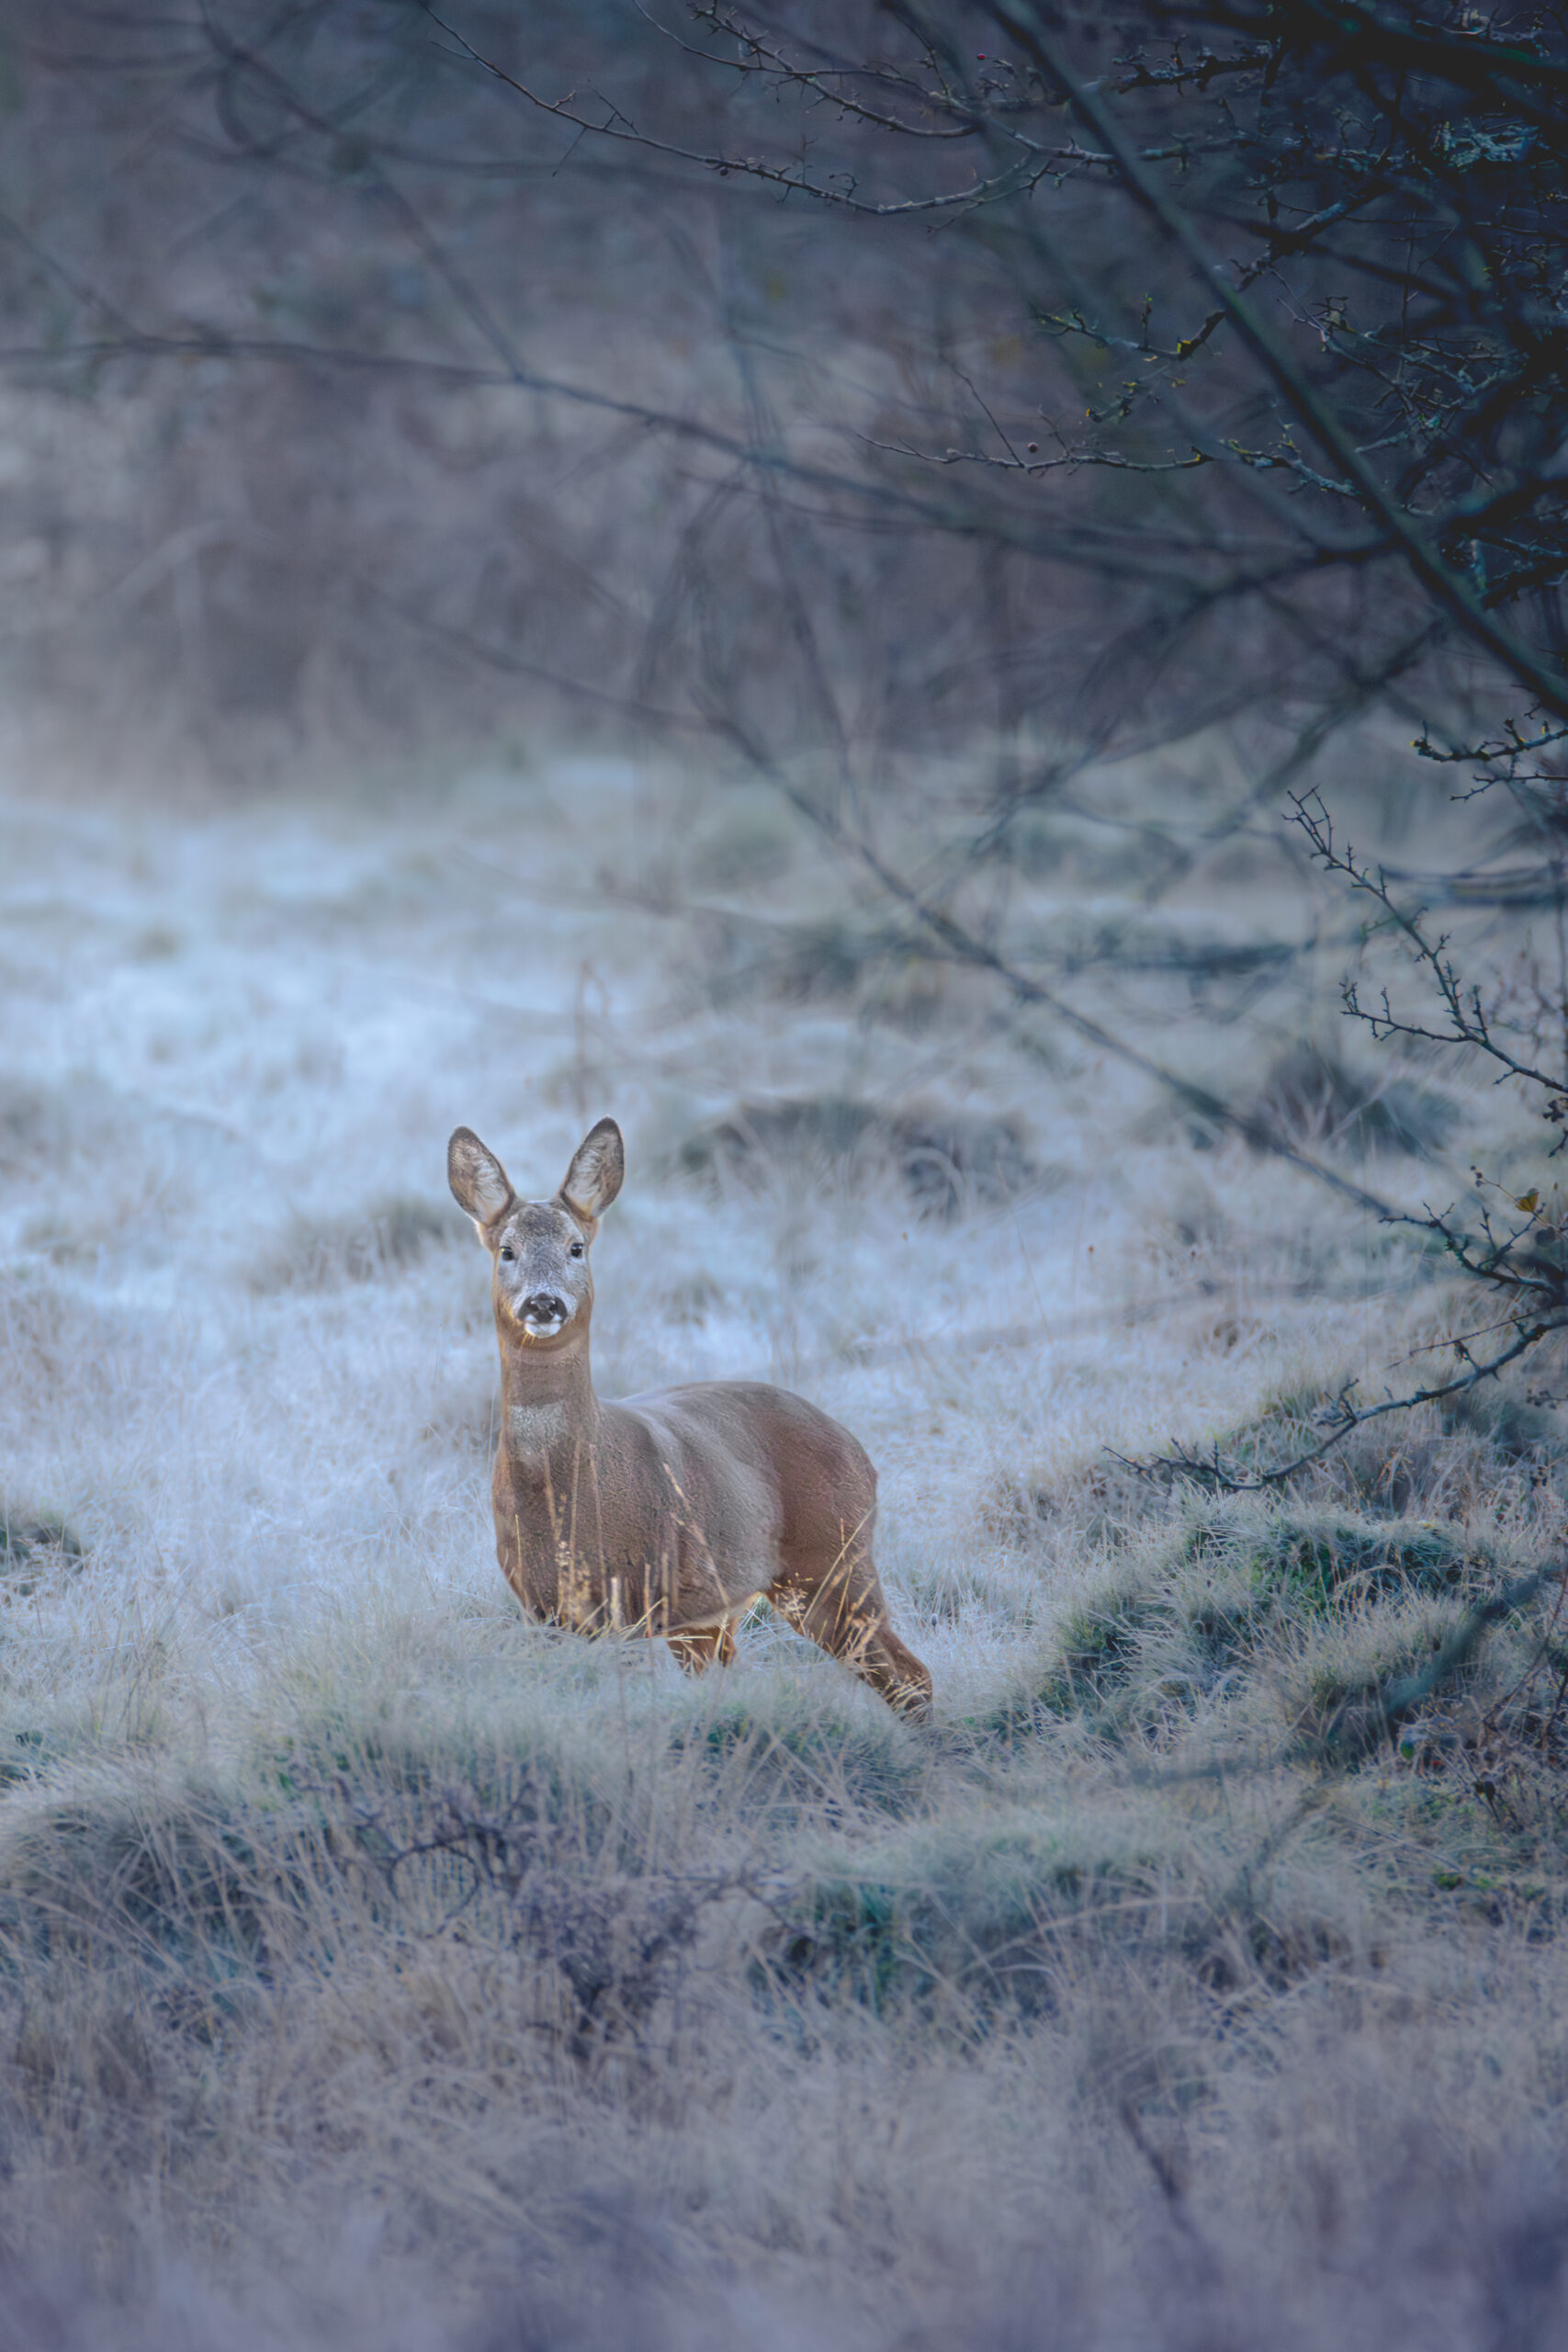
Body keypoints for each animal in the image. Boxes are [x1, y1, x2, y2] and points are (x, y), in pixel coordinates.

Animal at [448, 1117, 933, 1718]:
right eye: (507, 1250)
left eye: (576, 1247)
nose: (544, 1303)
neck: (567, 1491)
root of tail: (861, 1454)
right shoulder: (542, 1610)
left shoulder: (633, 1601)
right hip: (722, 1604)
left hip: (835, 1558)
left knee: (911, 1675)